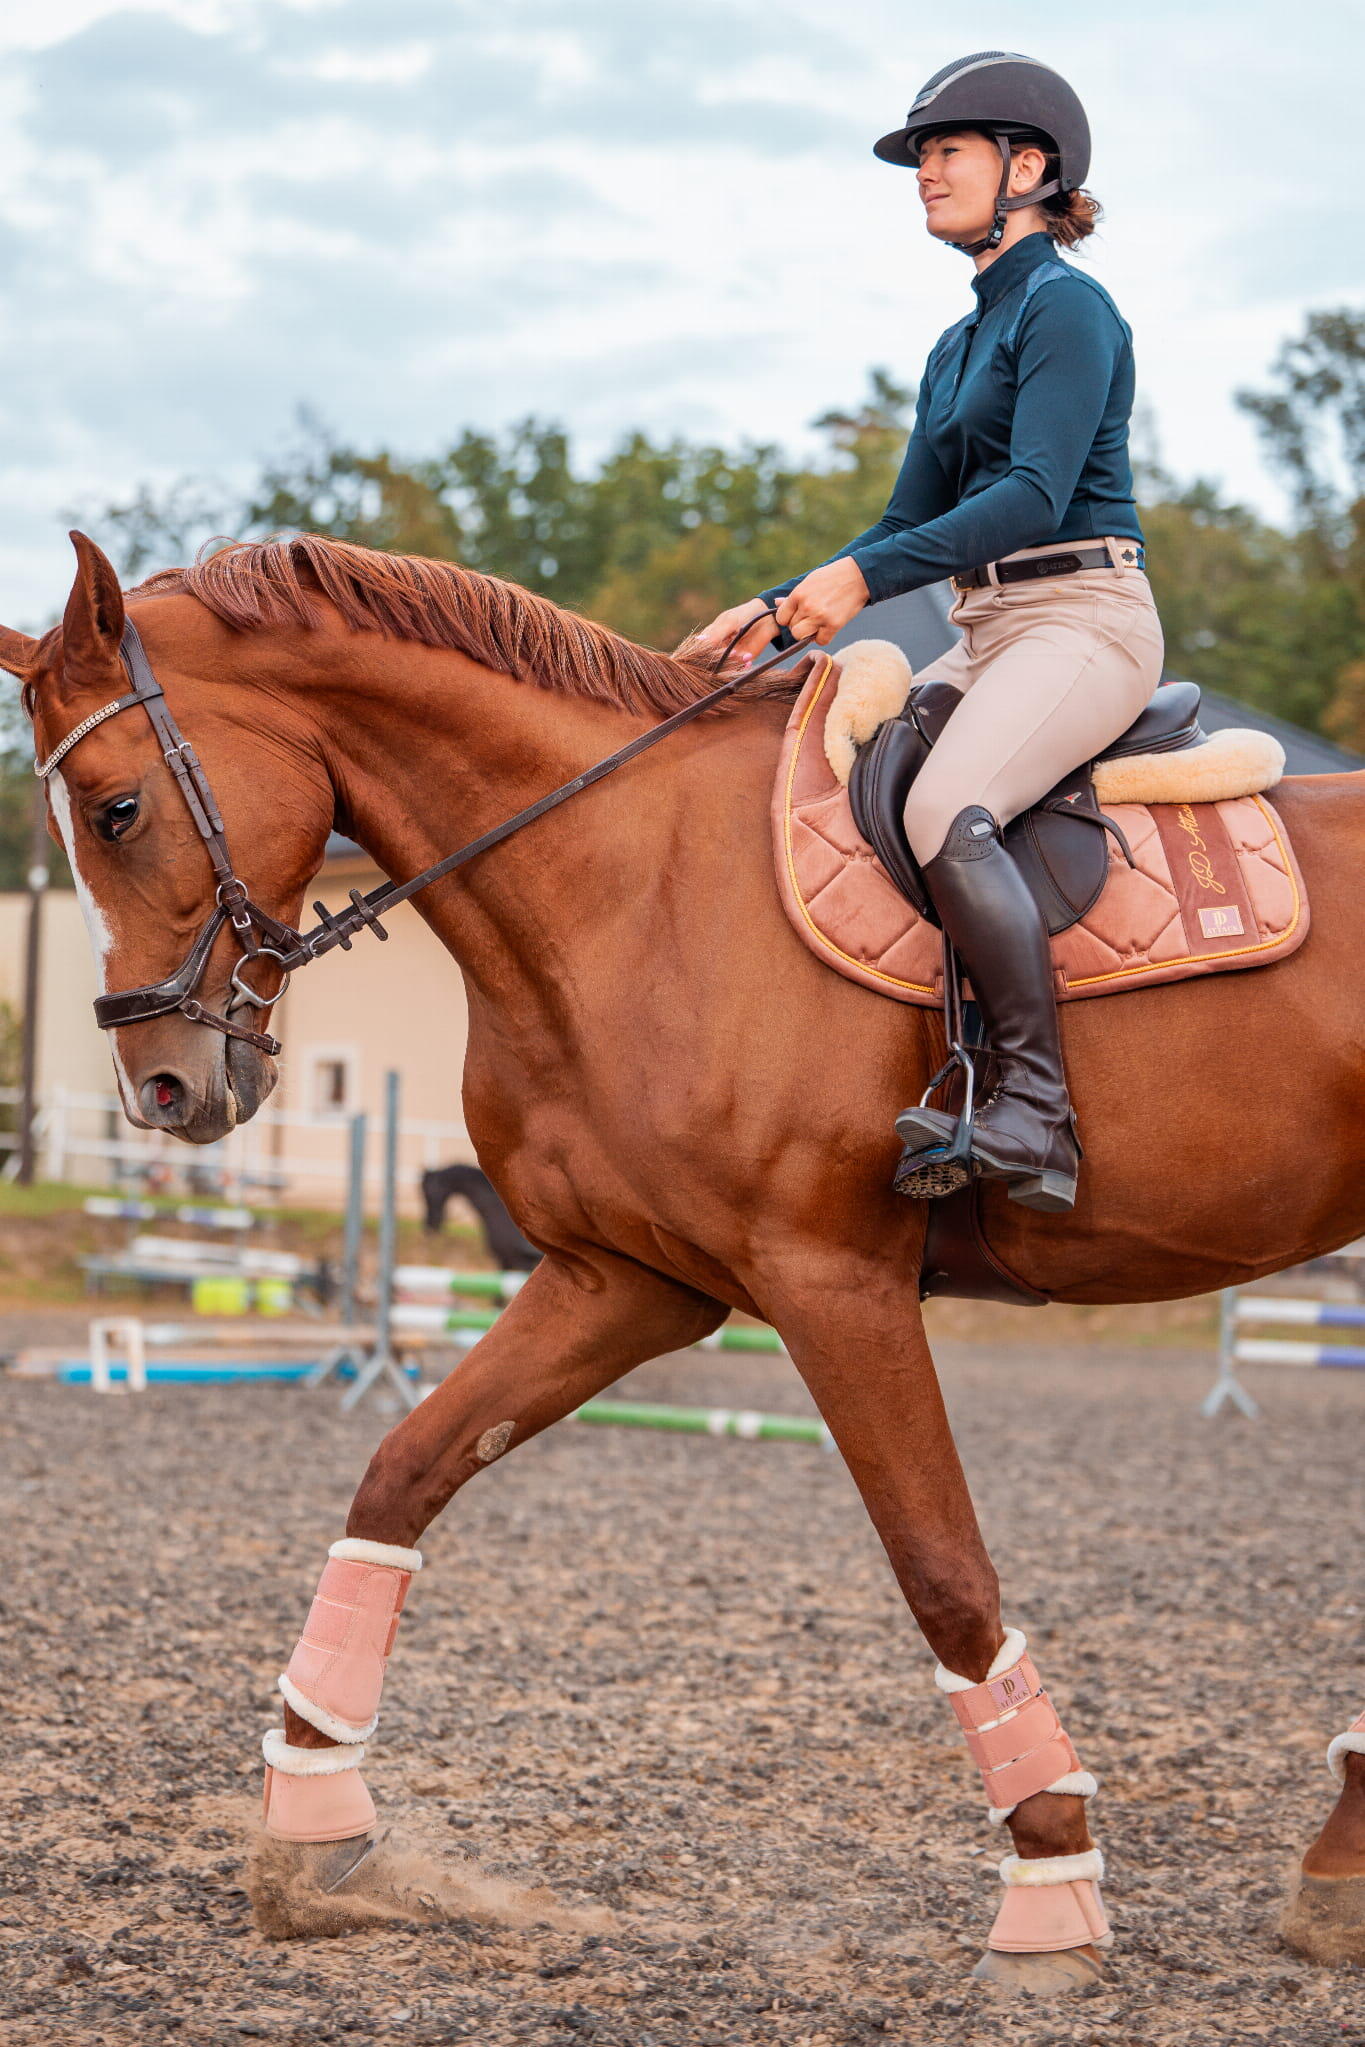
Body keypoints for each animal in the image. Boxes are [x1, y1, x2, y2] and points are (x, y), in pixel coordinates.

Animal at [3, 531, 1362, 1991]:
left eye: (116, 808)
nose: (159, 1087)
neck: (625, 877)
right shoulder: (626, 1277)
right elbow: (402, 1472)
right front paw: (316, 1831)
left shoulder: (830, 1283)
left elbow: (944, 1573)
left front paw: (1048, 1888)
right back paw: (1340, 1855)